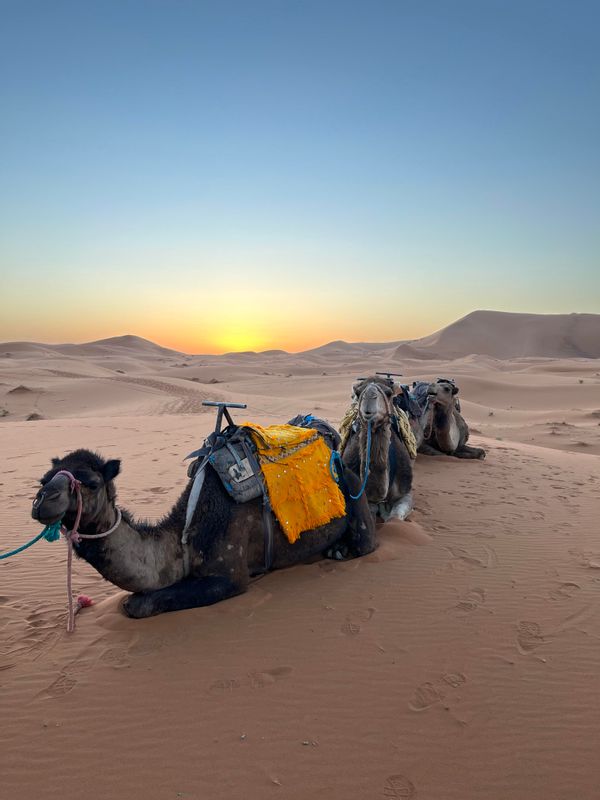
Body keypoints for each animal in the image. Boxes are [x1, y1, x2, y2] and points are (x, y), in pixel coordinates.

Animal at [30, 444, 378, 620]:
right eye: (43, 479)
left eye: (90, 482)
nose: (43, 500)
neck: (185, 538)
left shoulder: (230, 574)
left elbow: (138, 605)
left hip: (353, 487)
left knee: (366, 543)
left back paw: (340, 550)